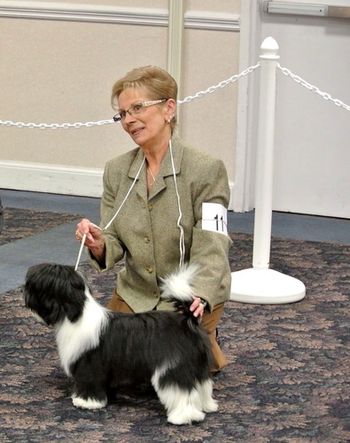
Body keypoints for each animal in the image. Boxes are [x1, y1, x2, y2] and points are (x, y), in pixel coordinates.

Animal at [23, 264, 216, 426]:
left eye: (35, 287)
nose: (25, 295)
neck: (76, 315)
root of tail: (186, 322)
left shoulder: (89, 365)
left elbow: (88, 382)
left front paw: (85, 402)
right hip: (197, 367)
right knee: (203, 385)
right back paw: (207, 405)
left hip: (172, 368)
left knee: (182, 391)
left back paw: (183, 417)